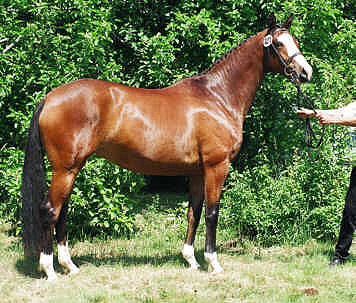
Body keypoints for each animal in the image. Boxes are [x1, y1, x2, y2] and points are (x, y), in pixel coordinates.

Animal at [21, 13, 312, 282]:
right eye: (278, 43)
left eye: (295, 41)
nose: (306, 72)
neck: (217, 97)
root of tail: (49, 98)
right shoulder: (216, 166)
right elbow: (212, 213)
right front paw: (213, 263)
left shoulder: (196, 172)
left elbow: (193, 213)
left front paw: (191, 260)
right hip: (65, 168)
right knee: (50, 211)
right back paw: (50, 270)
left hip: (73, 168)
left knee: (62, 212)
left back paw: (69, 265)